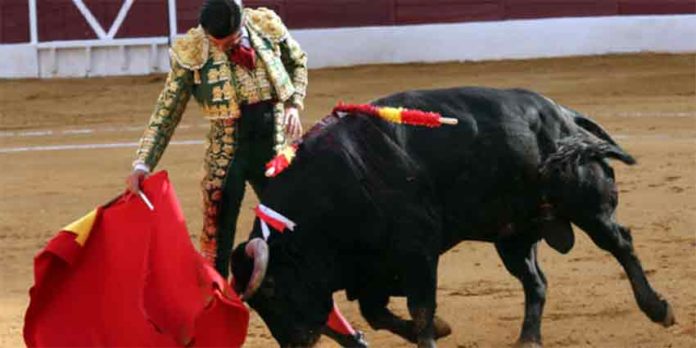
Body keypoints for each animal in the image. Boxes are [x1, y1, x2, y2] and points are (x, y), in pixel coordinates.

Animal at [232, 87, 676, 346]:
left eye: (272, 289)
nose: (295, 342)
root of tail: (566, 115)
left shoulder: (417, 252)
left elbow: (420, 309)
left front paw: (431, 333)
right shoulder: (375, 268)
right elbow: (379, 314)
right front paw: (441, 329)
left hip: (589, 206)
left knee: (620, 244)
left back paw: (658, 308)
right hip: (513, 236)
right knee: (536, 281)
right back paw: (528, 339)